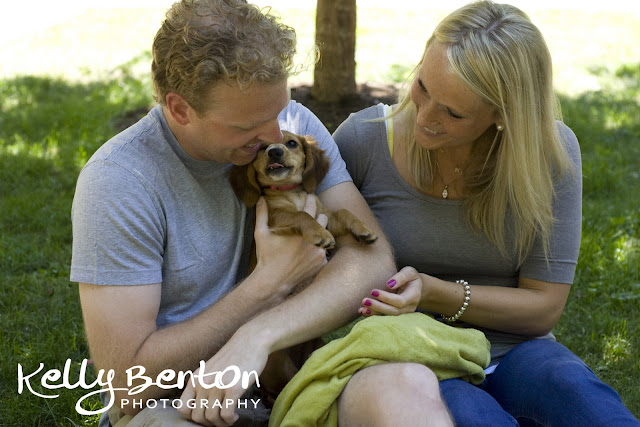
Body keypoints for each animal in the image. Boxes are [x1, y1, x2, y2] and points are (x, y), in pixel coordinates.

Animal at [229, 131, 378, 249]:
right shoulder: (276, 218)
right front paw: (319, 233)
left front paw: (362, 228)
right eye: (263, 147)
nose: (274, 152)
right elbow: (302, 214)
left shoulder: (325, 216)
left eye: (292, 143)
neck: (290, 190)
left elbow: (343, 211)